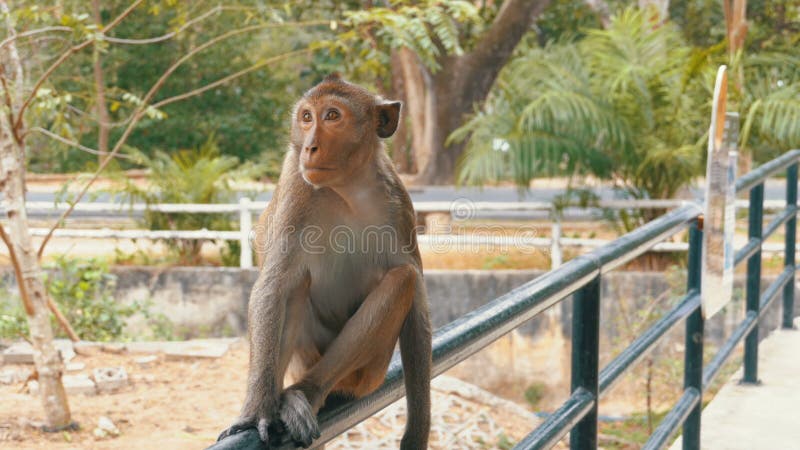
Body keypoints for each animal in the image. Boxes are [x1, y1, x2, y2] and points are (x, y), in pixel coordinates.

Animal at [219, 73, 432, 446]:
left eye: (332, 116)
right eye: (306, 117)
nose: (309, 147)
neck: (347, 188)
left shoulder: (400, 204)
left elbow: (416, 300)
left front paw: (416, 436)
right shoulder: (296, 183)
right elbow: (273, 286)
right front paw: (255, 411)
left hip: (370, 373)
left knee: (402, 279)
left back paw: (308, 392)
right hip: (305, 358)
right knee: (295, 283)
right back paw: (285, 399)